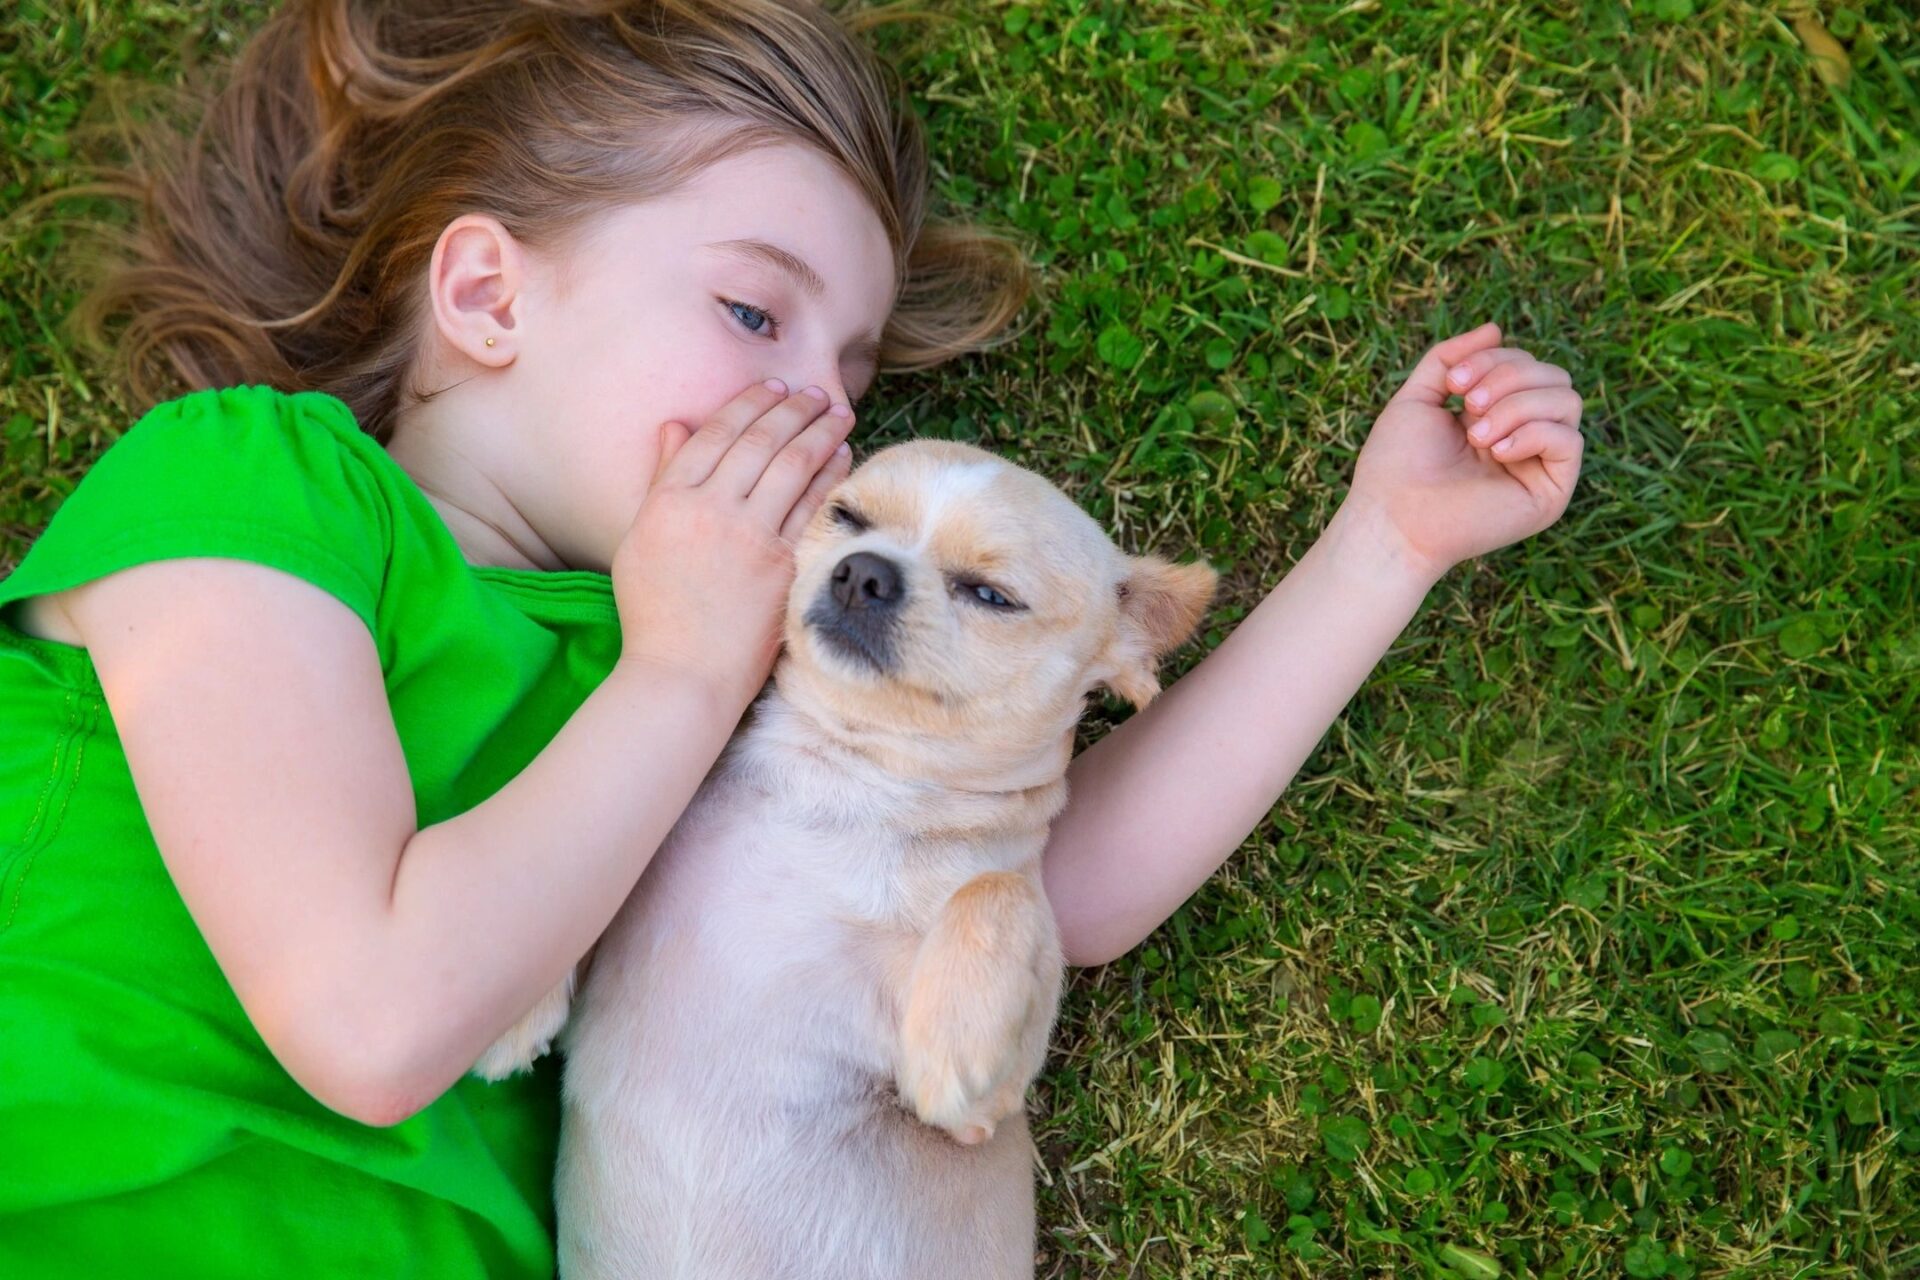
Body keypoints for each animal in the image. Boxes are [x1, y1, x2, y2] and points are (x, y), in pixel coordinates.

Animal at [474, 435, 1213, 1274]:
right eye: (847, 516)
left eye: (990, 596)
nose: (865, 570)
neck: (839, 779)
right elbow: (592, 869)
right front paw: (513, 999)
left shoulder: (985, 1110)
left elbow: (999, 890)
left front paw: (951, 1043)